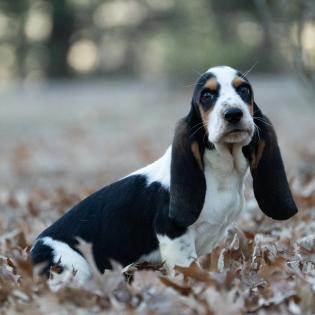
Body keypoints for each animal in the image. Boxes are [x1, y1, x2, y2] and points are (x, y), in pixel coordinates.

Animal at [30, 65, 298, 290]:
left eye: (244, 90)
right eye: (207, 96)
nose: (233, 114)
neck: (222, 172)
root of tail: (31, 252)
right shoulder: (174, 235)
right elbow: (188, 269)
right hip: (73, 266)